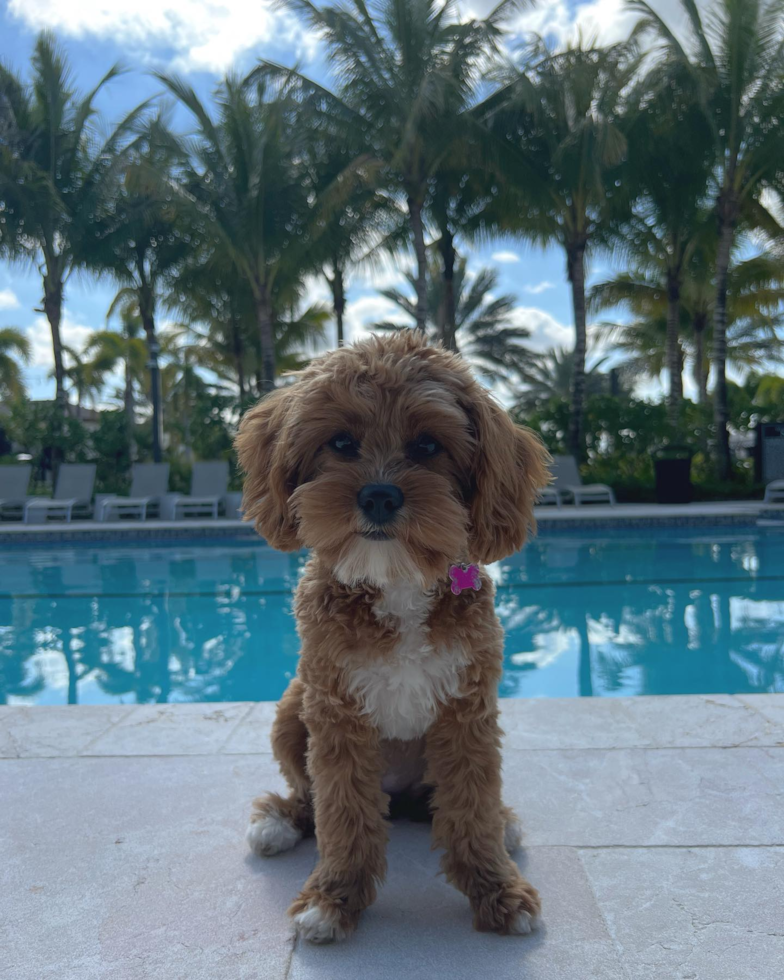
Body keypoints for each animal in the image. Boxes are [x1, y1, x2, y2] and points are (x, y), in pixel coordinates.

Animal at [236, 330, 548, 940]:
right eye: (340, 441)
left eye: (428, 446)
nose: (379, 496)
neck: (396, 581)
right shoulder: (336, 712)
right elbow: (341, 812)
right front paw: (332, 898)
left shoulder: (468, 711)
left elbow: (472, 808)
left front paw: (497, 890)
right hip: (290, 708)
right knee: (307, 796)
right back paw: (280, 822)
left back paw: (501, 822)